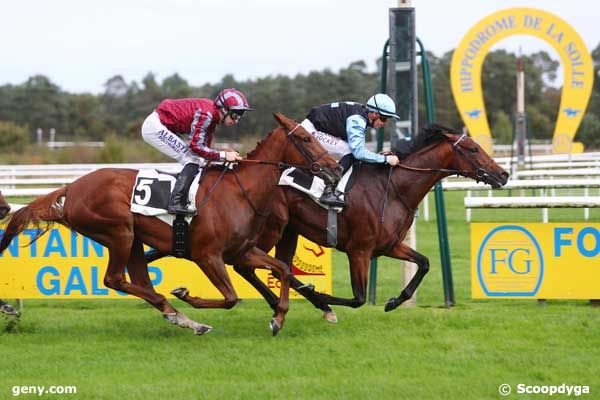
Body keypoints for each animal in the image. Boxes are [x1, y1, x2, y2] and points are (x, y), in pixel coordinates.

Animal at [0, 112, 340, 334]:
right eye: (306, 138)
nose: (335, 170)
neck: (240, 191)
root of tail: (72, 189)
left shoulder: (240, 252)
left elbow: (282, 269)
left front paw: (279, 317)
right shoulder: (207, 256)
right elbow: (230, 298)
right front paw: (187, 295)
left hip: (134, 240)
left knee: (137, 281)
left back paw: (180, 318)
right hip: (119, 232)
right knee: (114, 280)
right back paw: (182, 313)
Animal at [232, 124, 508, 322]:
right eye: (473, 149)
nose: (503, 174)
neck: (394, 189)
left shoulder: (389, 246)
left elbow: (424, 263)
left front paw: (395, 301)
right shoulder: (359, 251)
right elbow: (358, 298)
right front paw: (323, 297)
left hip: (290, 231)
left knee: (278, 268)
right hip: (271, 229)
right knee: (246, 266)